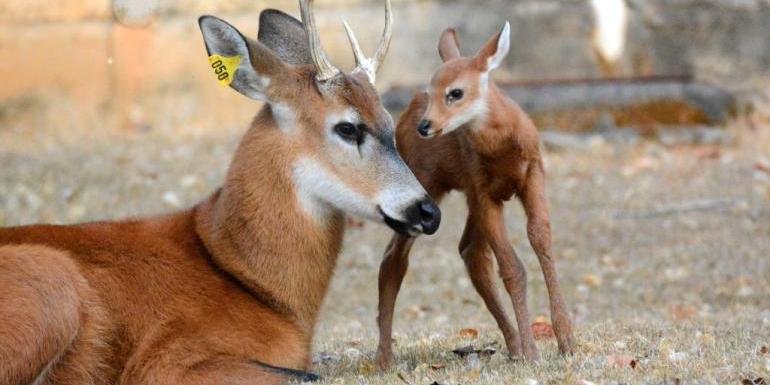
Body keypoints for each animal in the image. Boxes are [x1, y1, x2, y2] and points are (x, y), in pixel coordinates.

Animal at [0, 1, 438, 382]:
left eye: (389, 119)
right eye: (348, 127)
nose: (428, 211)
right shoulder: (167, 361)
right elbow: (309, 376)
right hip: (52, 281)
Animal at [376, 23, 572, 366]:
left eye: (455, 92)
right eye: (431, 90)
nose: (426, 126)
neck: (503, 150)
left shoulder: (532, 172)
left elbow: (541, 239)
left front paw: (565, 341)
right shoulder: (484, 190)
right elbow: (512, 268)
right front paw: (533, 352)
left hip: (467, 198)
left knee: (469, 251)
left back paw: (513, 345)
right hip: (426, 186)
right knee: (393, 259)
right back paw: (384, 359)